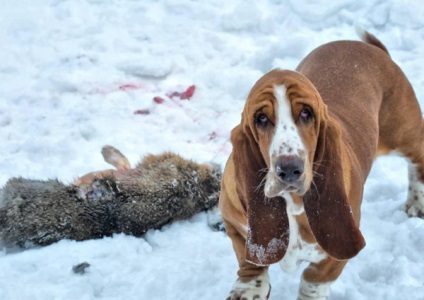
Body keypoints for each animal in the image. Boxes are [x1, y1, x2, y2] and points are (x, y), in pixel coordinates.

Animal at [219, 29, 424, 298]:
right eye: (261, 118)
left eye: (307, 113)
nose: (289, 169)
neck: (293, 205)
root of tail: (374, 49)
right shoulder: (235, 226)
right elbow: (249, 260)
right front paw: (248, 289)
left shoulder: (335, 255)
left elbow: (313, 282)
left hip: (405, 134)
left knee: (418, 161)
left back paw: (416, 203)